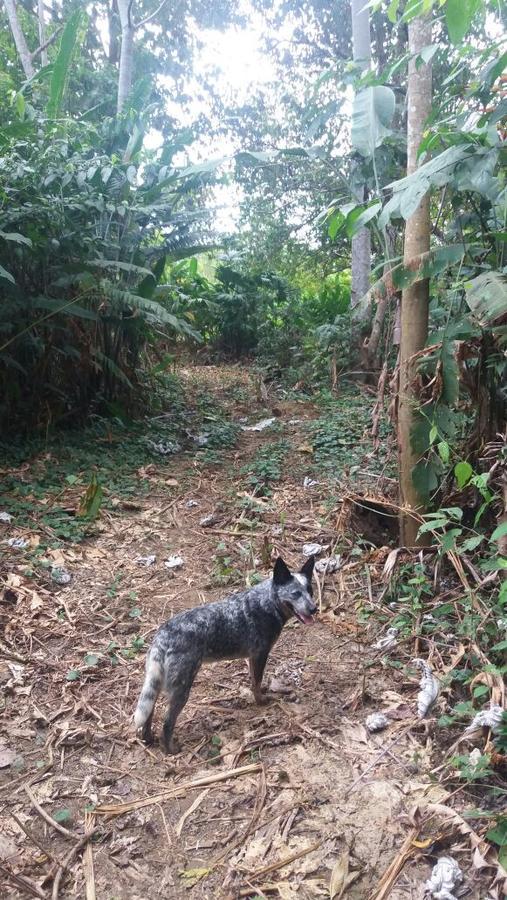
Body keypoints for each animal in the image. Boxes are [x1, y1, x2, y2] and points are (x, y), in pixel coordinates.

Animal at [135, 556, 318, 752]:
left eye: (310, 591)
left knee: (148, 712)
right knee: (167, 722)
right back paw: (171, 750)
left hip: (156, 682)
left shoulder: (252, 658)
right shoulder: (260, 654)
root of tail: (162, 635)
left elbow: (253, 681)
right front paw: (261, 701)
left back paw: (148, 739)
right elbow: (257, 682)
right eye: (295, 594)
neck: (267, 602)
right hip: (182, 688)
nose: (314, 609)